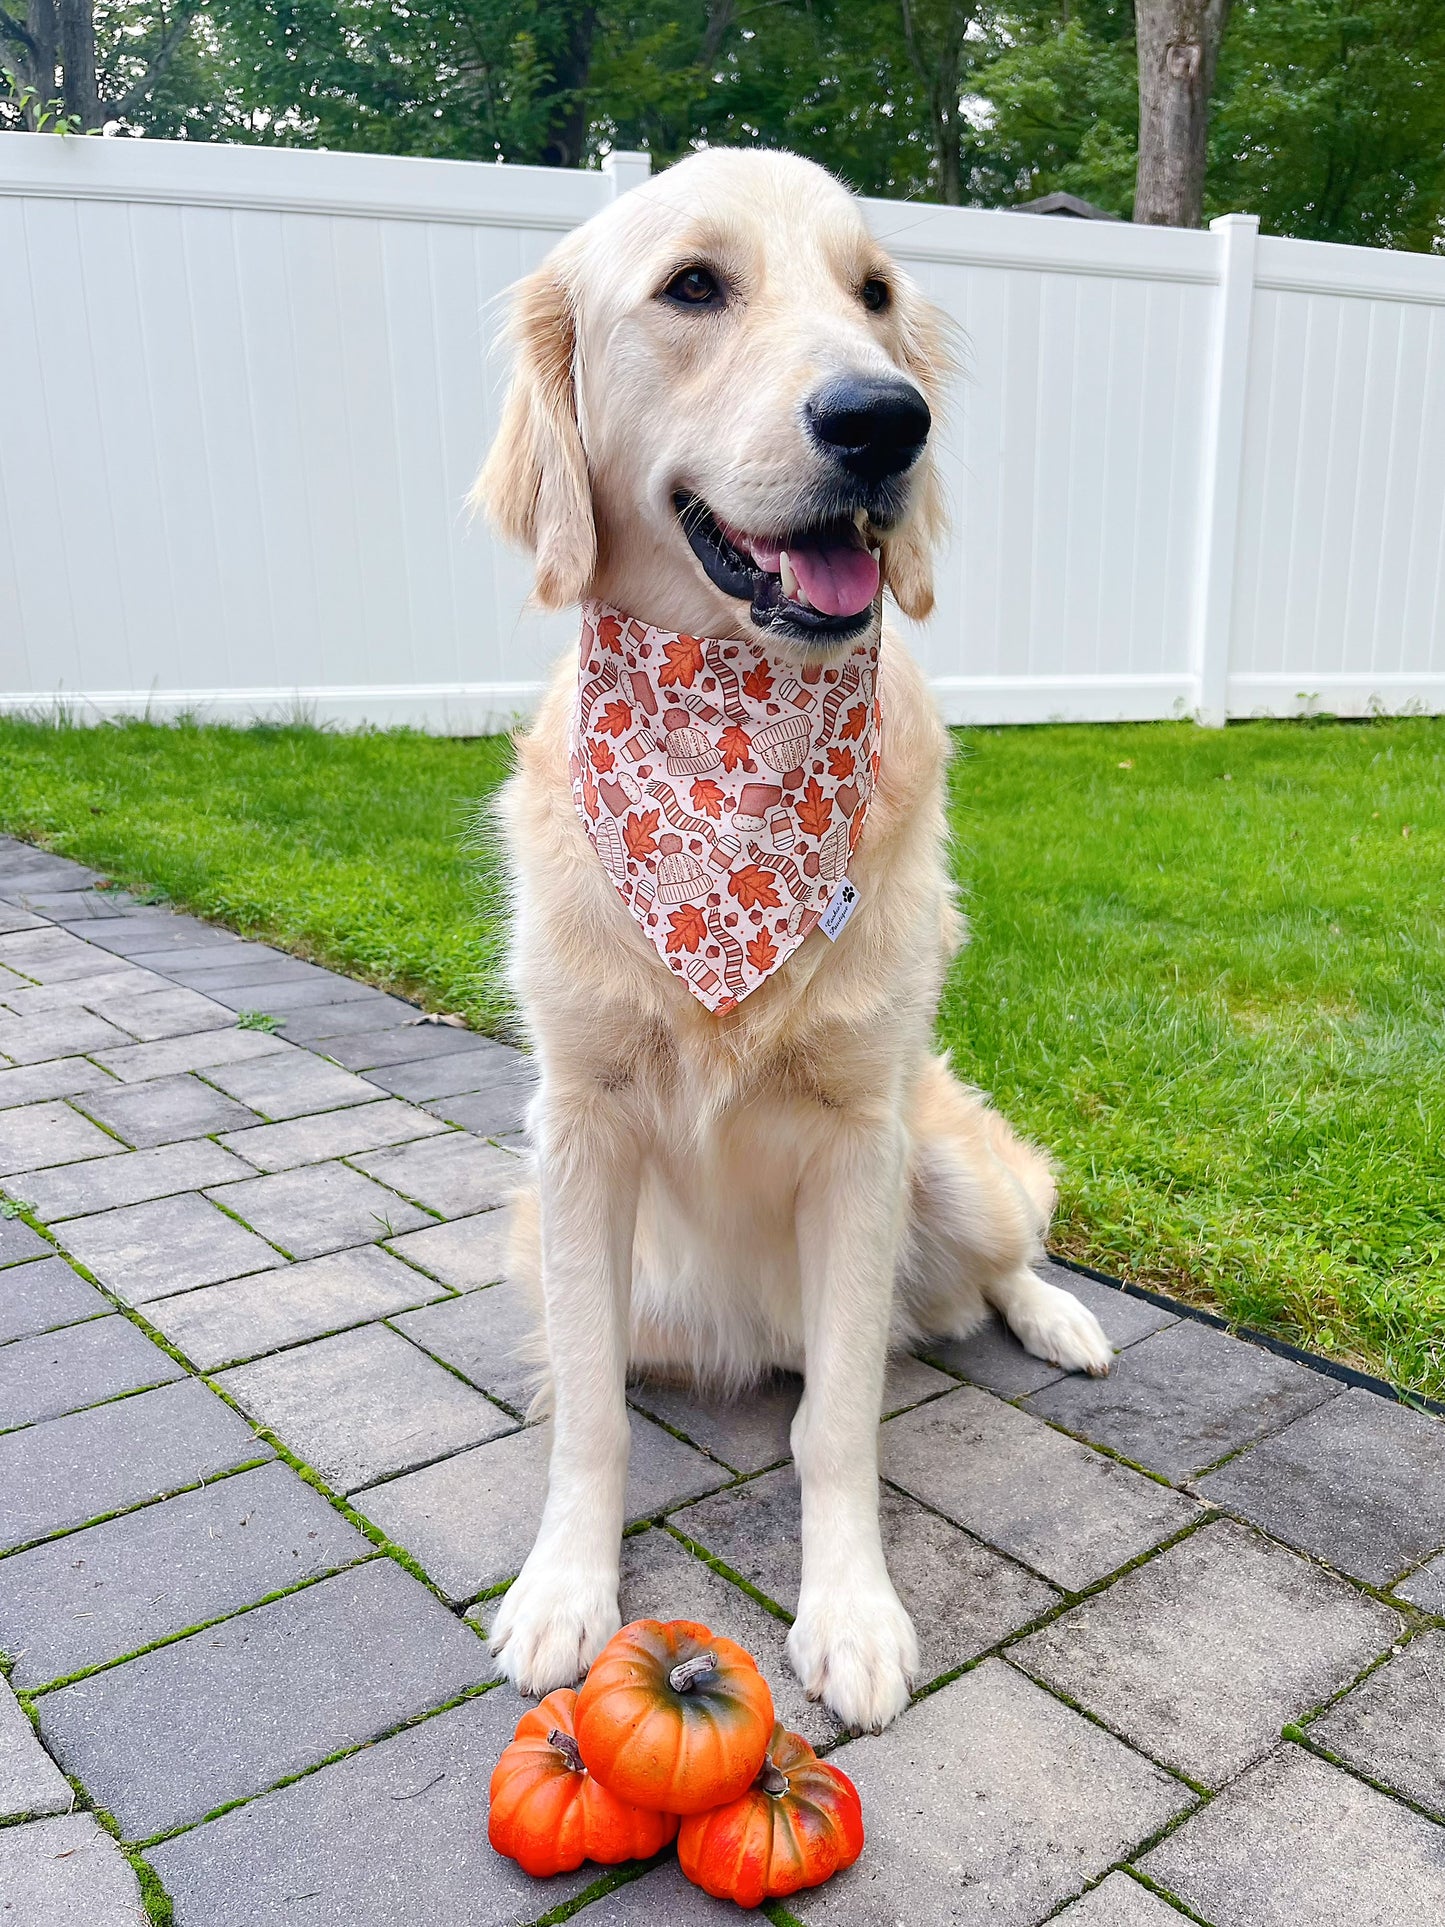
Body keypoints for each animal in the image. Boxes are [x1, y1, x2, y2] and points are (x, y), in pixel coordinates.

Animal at [475, 142, 1109, 1726]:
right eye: (693, 285)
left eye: (873, 293)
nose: (886, 421)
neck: (732, 759)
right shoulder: (575, 1131)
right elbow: (586, 1410)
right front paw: (564, 1585)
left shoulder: (859, 1139)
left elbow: (839, 1423)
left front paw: (855, 1613)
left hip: (947, 1162)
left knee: (995, 1263)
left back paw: (1060, 1320)